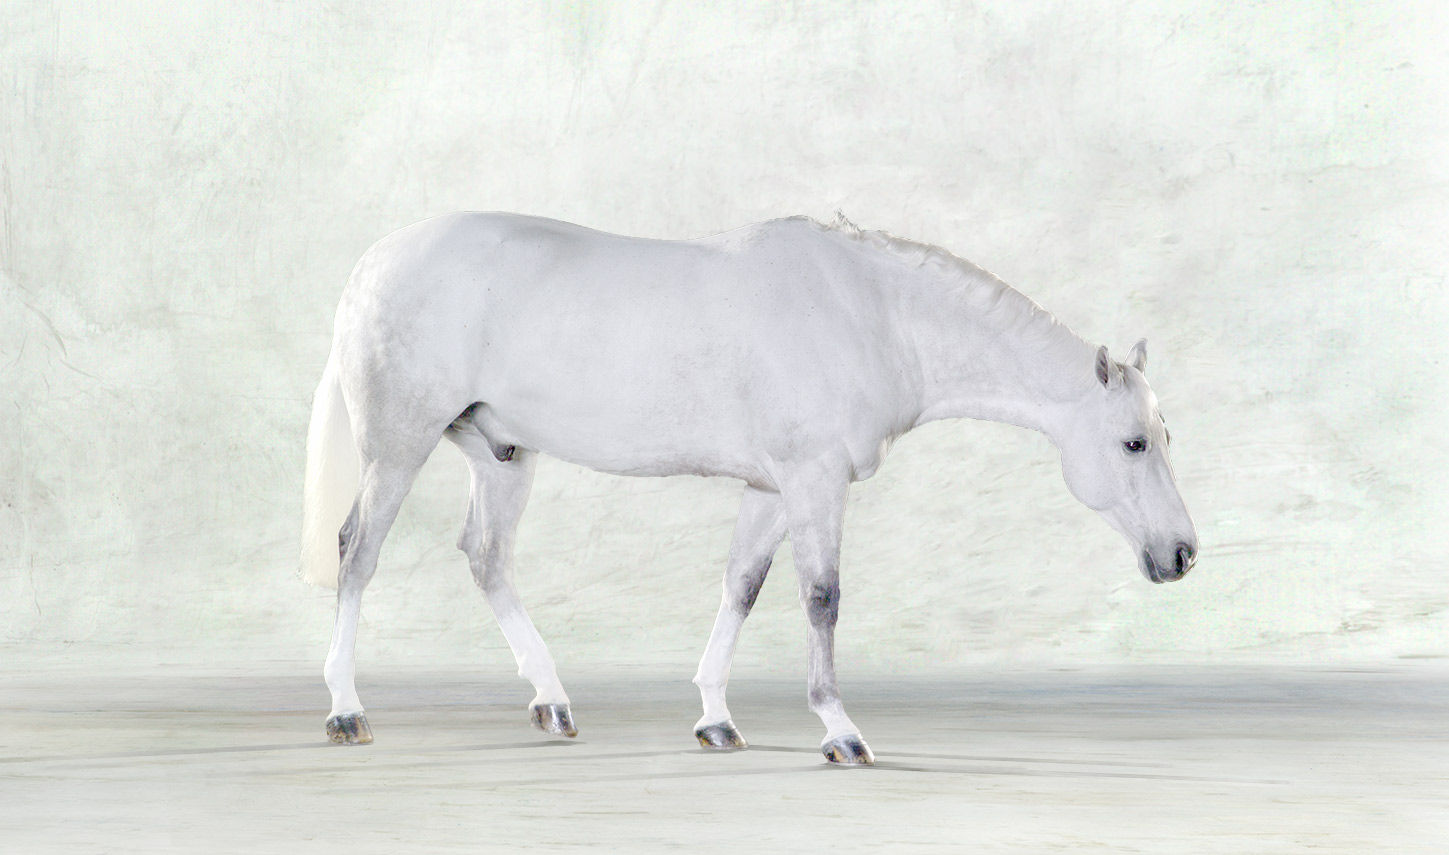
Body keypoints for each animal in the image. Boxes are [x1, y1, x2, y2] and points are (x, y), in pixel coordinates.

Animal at [300, 212, 1198, 765]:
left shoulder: (771, 489)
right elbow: (821, 597)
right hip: (400, 446)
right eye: (1132, 442)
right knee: (357, 552)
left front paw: (714, 717)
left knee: (485, 558)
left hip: (502, 455)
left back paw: (552, 701)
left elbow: (742, 586)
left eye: (1165, 437)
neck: (870, 313)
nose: (1182, 554)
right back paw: (345, 708)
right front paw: (839, 729)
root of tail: (372, 264)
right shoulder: (813, 480)